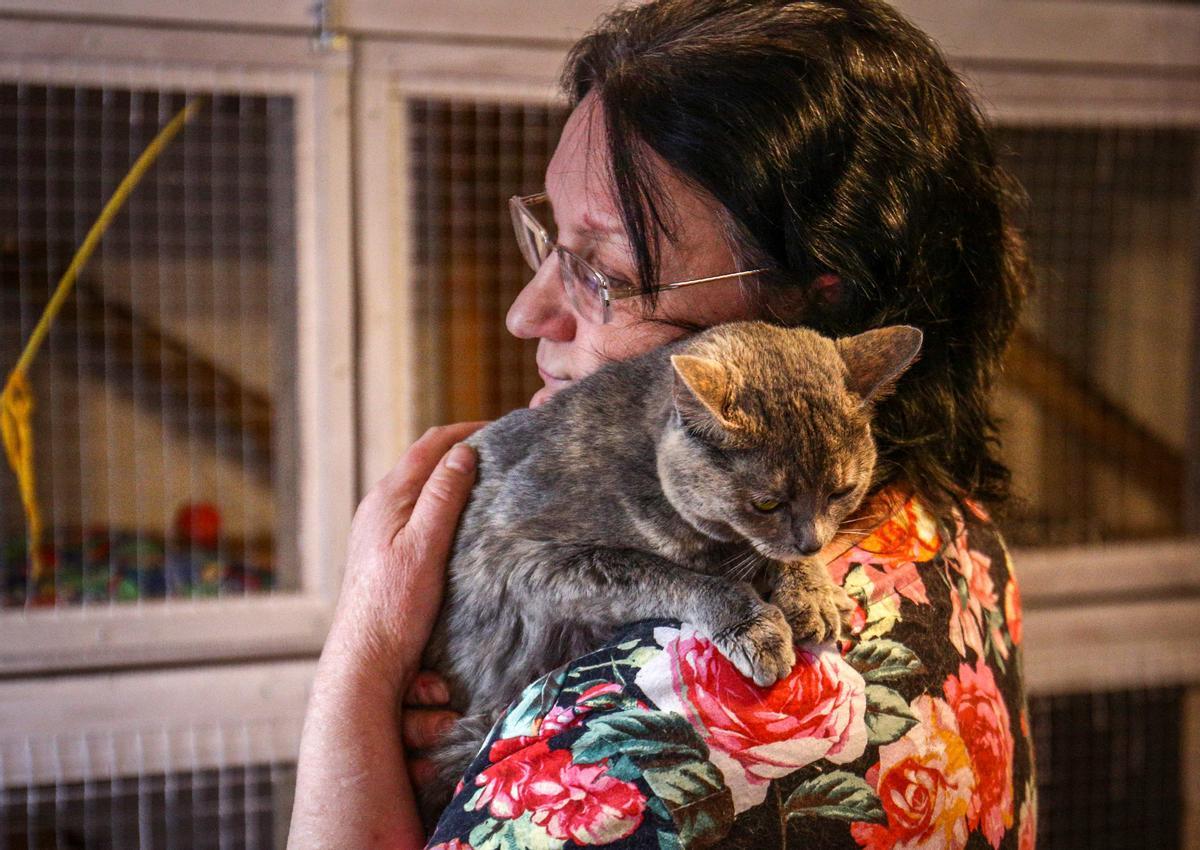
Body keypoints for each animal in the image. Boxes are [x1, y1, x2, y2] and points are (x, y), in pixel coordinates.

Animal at [420, 319, 916, 811]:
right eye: (766, 503)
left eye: (841, 491)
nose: (812, 543)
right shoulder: (527, 559)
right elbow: (677, 577)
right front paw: (756, 626)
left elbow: (768, 555)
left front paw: (812, 593)